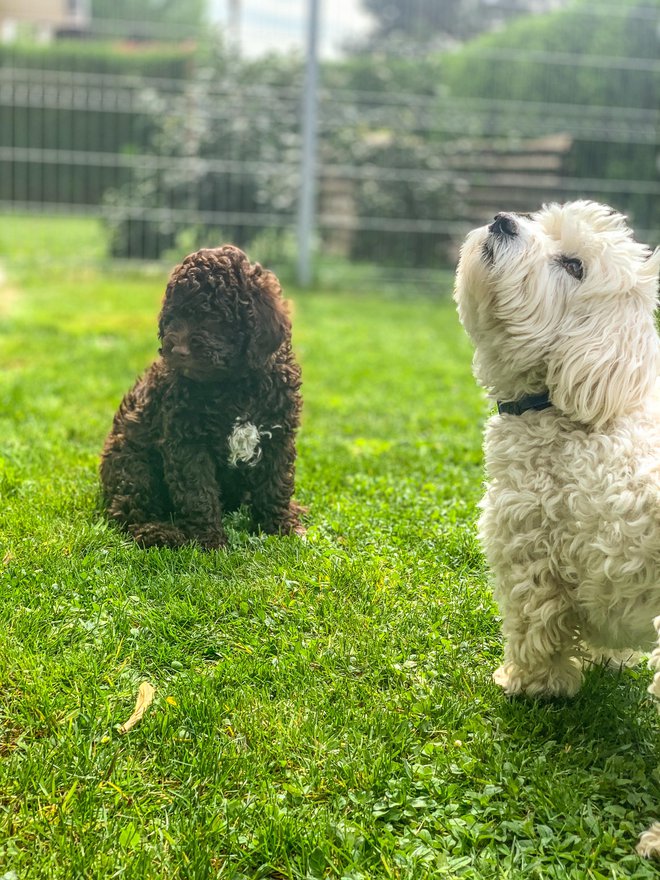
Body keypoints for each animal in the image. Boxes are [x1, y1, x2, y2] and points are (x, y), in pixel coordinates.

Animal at [100, 246, 304, 552]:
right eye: (173, 317)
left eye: (214, 319)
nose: (179, 350)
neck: (234, 386)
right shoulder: (187, 442)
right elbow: (198, 494)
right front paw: (210, 542)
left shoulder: (277, 436)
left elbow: (274, 484)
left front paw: (281, 527)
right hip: (131, 463)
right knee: (131, 507)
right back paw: (157, 531)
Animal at [454, 203, 660, 856]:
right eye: (540, 224)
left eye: (573, 265)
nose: (502, 219)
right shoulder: (611, 567)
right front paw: (611, 658)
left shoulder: (530, 553)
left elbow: (534, 631)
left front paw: (528, 685)